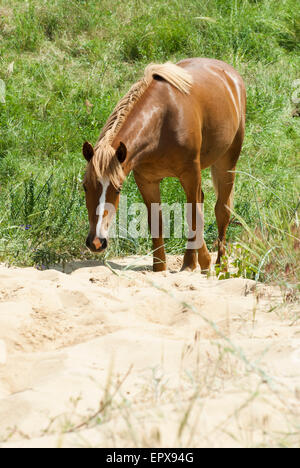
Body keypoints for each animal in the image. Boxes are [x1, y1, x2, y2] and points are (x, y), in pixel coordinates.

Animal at [82, 57, 246, 270]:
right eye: (85, 187)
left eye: (117, 190)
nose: (96, 242)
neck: (162, 123)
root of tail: (230, 75)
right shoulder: (147, 181)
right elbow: (156, 222)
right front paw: (160, 268)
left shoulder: (191, 174)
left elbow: (193, 216)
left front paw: (201, 261)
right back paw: (193, 262)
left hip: (226, 163)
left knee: (222, 210)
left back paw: (220, 265)